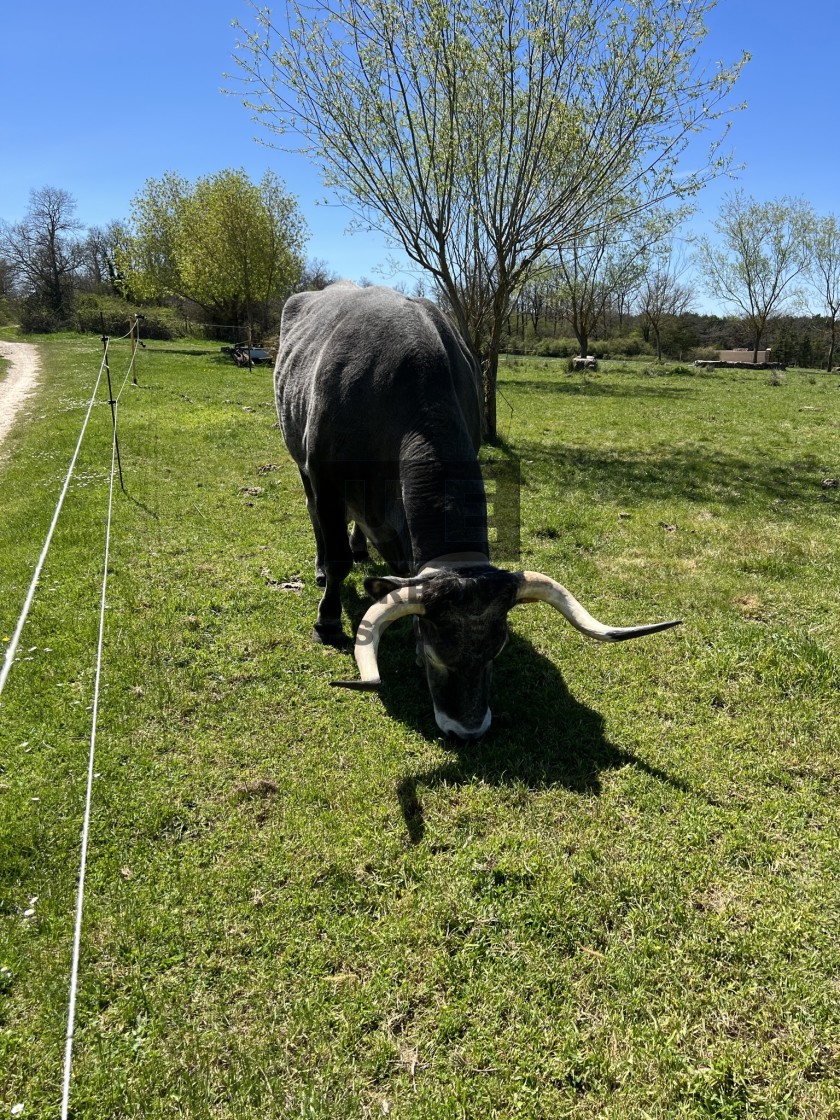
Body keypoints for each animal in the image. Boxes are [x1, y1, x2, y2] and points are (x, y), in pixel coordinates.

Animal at [276, 280, 685, 739]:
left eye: (497, 649)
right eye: (436, 652)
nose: (467, 731)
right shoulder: (324, 477)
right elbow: (338, 559)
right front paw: (327, 622)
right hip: (303, 466)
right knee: (317, 520)